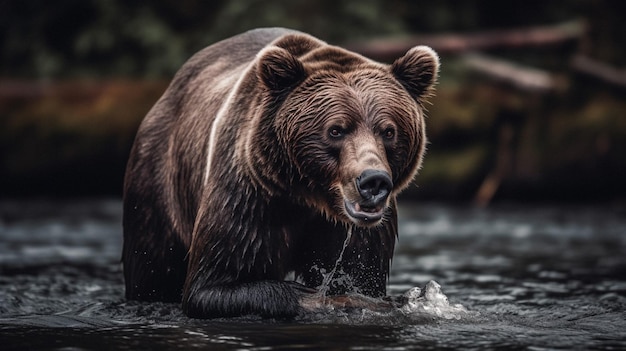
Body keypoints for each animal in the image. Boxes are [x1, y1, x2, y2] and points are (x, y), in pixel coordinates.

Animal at [120, 27, 434, 320]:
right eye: (336, 130)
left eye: (389, 131)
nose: (373, 181)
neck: (308, 196)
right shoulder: (249, 195)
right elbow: (212, 285)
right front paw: (323, 299)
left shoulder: (359, 233)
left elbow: (360, 272)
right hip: (158, 181)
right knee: (153, 267)